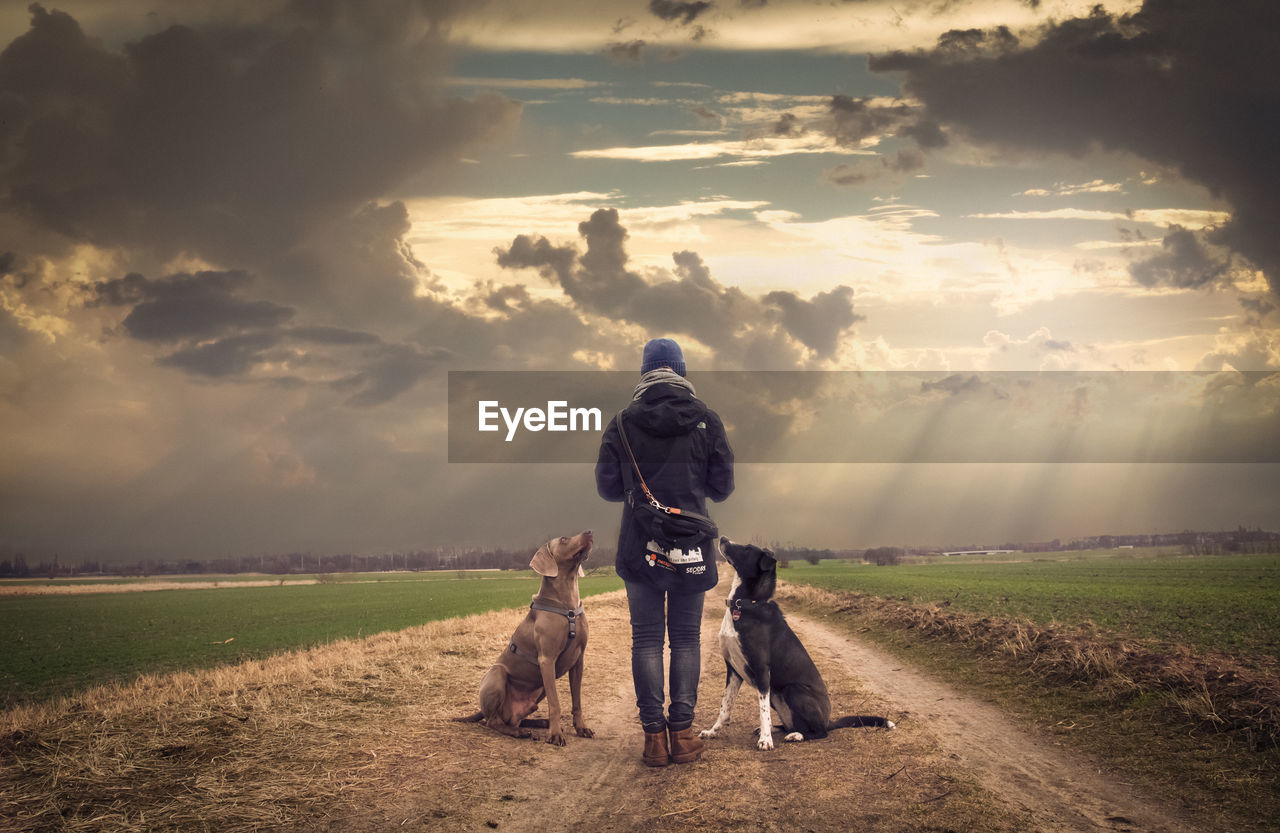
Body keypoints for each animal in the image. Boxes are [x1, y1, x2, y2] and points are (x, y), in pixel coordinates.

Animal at [455, 532, 593, 747]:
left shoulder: (578, 661)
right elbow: (555, 703)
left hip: (538, 690)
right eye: (564, 539)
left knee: (514, 720)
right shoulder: (547, 660)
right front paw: (555, 735)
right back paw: (521, 732)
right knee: (493, 722)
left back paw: (540, 723)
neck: (567, 607)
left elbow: (576, 701)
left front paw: (581, 727)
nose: (589, 532)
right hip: (497, 674)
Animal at [696, 537, 896, 752]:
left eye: (748, 548)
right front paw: (712, 732)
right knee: (791, 724)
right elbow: (725, 707)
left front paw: (765, 741)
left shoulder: (762, 670)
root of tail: (828, 721)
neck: (745, 604)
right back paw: (779, 730)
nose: (723, 539)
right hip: (776, 694)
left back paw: (795, 735)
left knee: (819, 732)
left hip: (793, 690)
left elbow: (762, 710)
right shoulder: (733, 669)